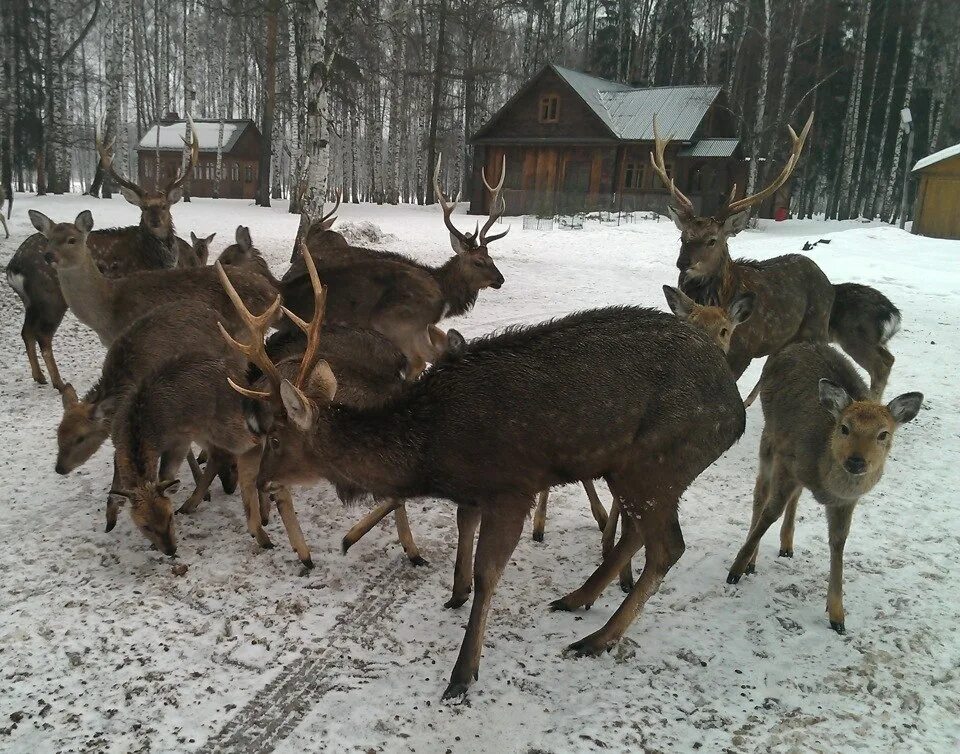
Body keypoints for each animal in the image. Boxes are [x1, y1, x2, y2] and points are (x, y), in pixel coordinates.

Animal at [229, 248, 748, 700]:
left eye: (275, 438)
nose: (261, 482)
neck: (433, 452)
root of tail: (736, 414)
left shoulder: (512, 486)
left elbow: (489, 572)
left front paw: (462, 674)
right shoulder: (474, 491)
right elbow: (465, 532)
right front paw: (454, 595)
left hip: (658, 459)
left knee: (668, 546)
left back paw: (597, 639)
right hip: (633, 469)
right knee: (639, 532)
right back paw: (577, 598)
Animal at [656, 112, 904, 402]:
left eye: (712, 240)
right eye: (683, 237)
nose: (683, 262)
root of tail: (830, 286)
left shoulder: (744, 348)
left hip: (824, 331)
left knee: (880, 363)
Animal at [728, 344, 924, 632]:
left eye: (883, 434)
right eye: (844, 427)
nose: (856, 461)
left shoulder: (846, 501)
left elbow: (839, 542)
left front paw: (838, 616)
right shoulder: (787, 460)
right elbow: (770, 512)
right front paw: (736, 570)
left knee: (794, 496)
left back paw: (787, 546)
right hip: (770, 435)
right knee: (760, 492)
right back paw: (753, 560)